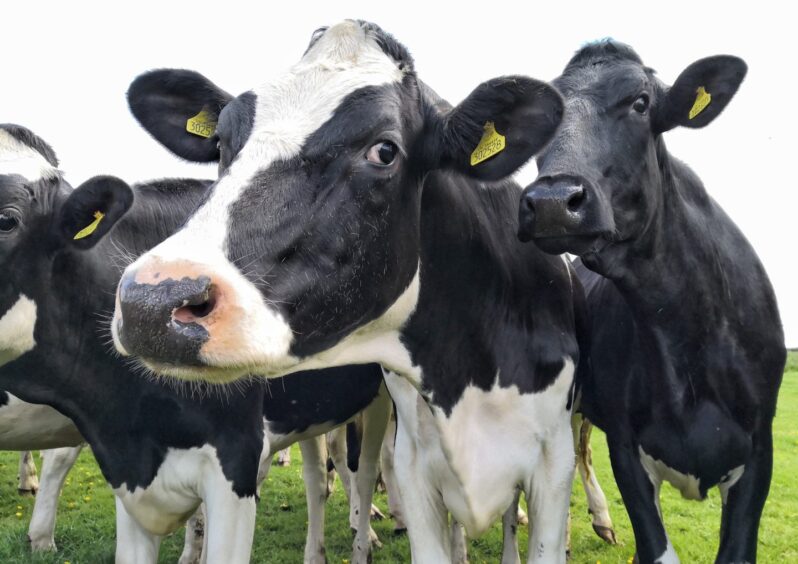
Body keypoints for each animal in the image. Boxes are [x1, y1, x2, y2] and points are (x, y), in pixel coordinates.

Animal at [112, 19, 584, 560]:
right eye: (222, 143)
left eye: (384, 150)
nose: (151, 302)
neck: (466, 372)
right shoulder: (416, 466)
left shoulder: (554, 466)